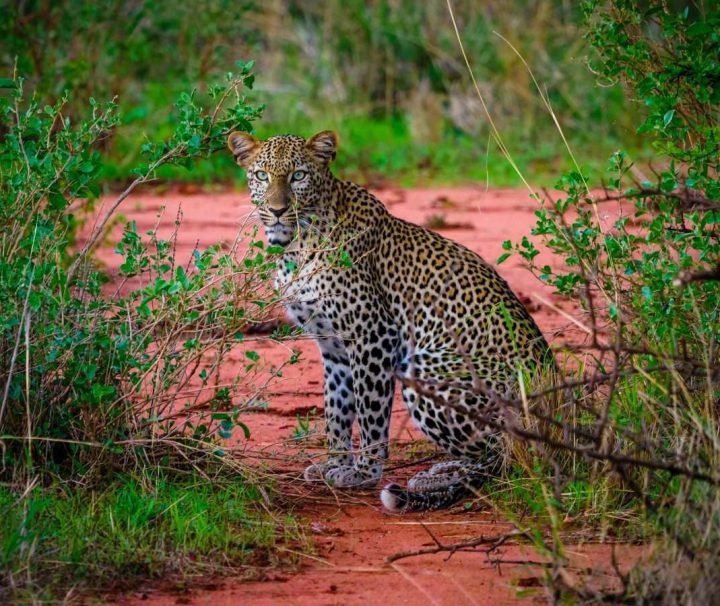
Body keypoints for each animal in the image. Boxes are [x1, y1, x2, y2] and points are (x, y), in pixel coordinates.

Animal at [228, 129, 548, 512]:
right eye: (262, 176)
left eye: (298, 176)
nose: (277, 210)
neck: (297, 245)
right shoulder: (333, 346)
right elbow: (336, 409)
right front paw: (334, 464)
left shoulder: (372, 335)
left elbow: (370, 410)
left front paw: (364, 471)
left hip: (427, 370)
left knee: (503, 456)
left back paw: (437, 478)